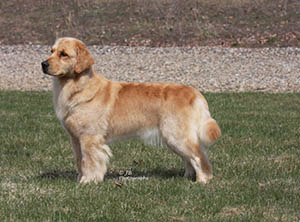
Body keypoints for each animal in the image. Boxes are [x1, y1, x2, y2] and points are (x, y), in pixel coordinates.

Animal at [41, 37, 221, 184]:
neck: (78, 86)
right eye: (51, 51)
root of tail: (195, 93)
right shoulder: (75, 139)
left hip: (176, 135)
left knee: (199, 157)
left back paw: (202, 180)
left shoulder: (90, 138)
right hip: (174, 138)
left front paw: (88, 181)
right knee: (189, 158)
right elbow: (80, 161)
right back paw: (187, 177)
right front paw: (80, 179)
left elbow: (90, 161)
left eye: (63, 54)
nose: (43, 64)